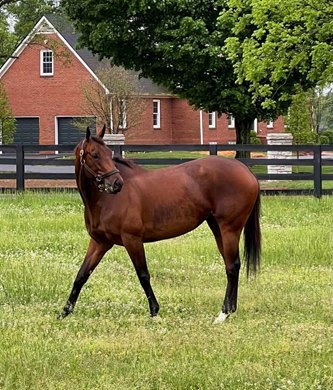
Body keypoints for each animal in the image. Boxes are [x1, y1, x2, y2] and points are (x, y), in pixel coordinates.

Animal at [58, 128, 260, 322]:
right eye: (95, 154)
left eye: (108, 153)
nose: (117, 183)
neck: (106, 200)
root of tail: (245, 170)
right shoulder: (100, 243)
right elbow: (81, 275)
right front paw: (64, 312)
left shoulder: (132, 240)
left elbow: (143, 275)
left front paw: (154, 311)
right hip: (217, 229)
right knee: (231, 265)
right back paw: (230, 309)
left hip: (229, 229)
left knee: (232, 266)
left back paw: (223, 313)